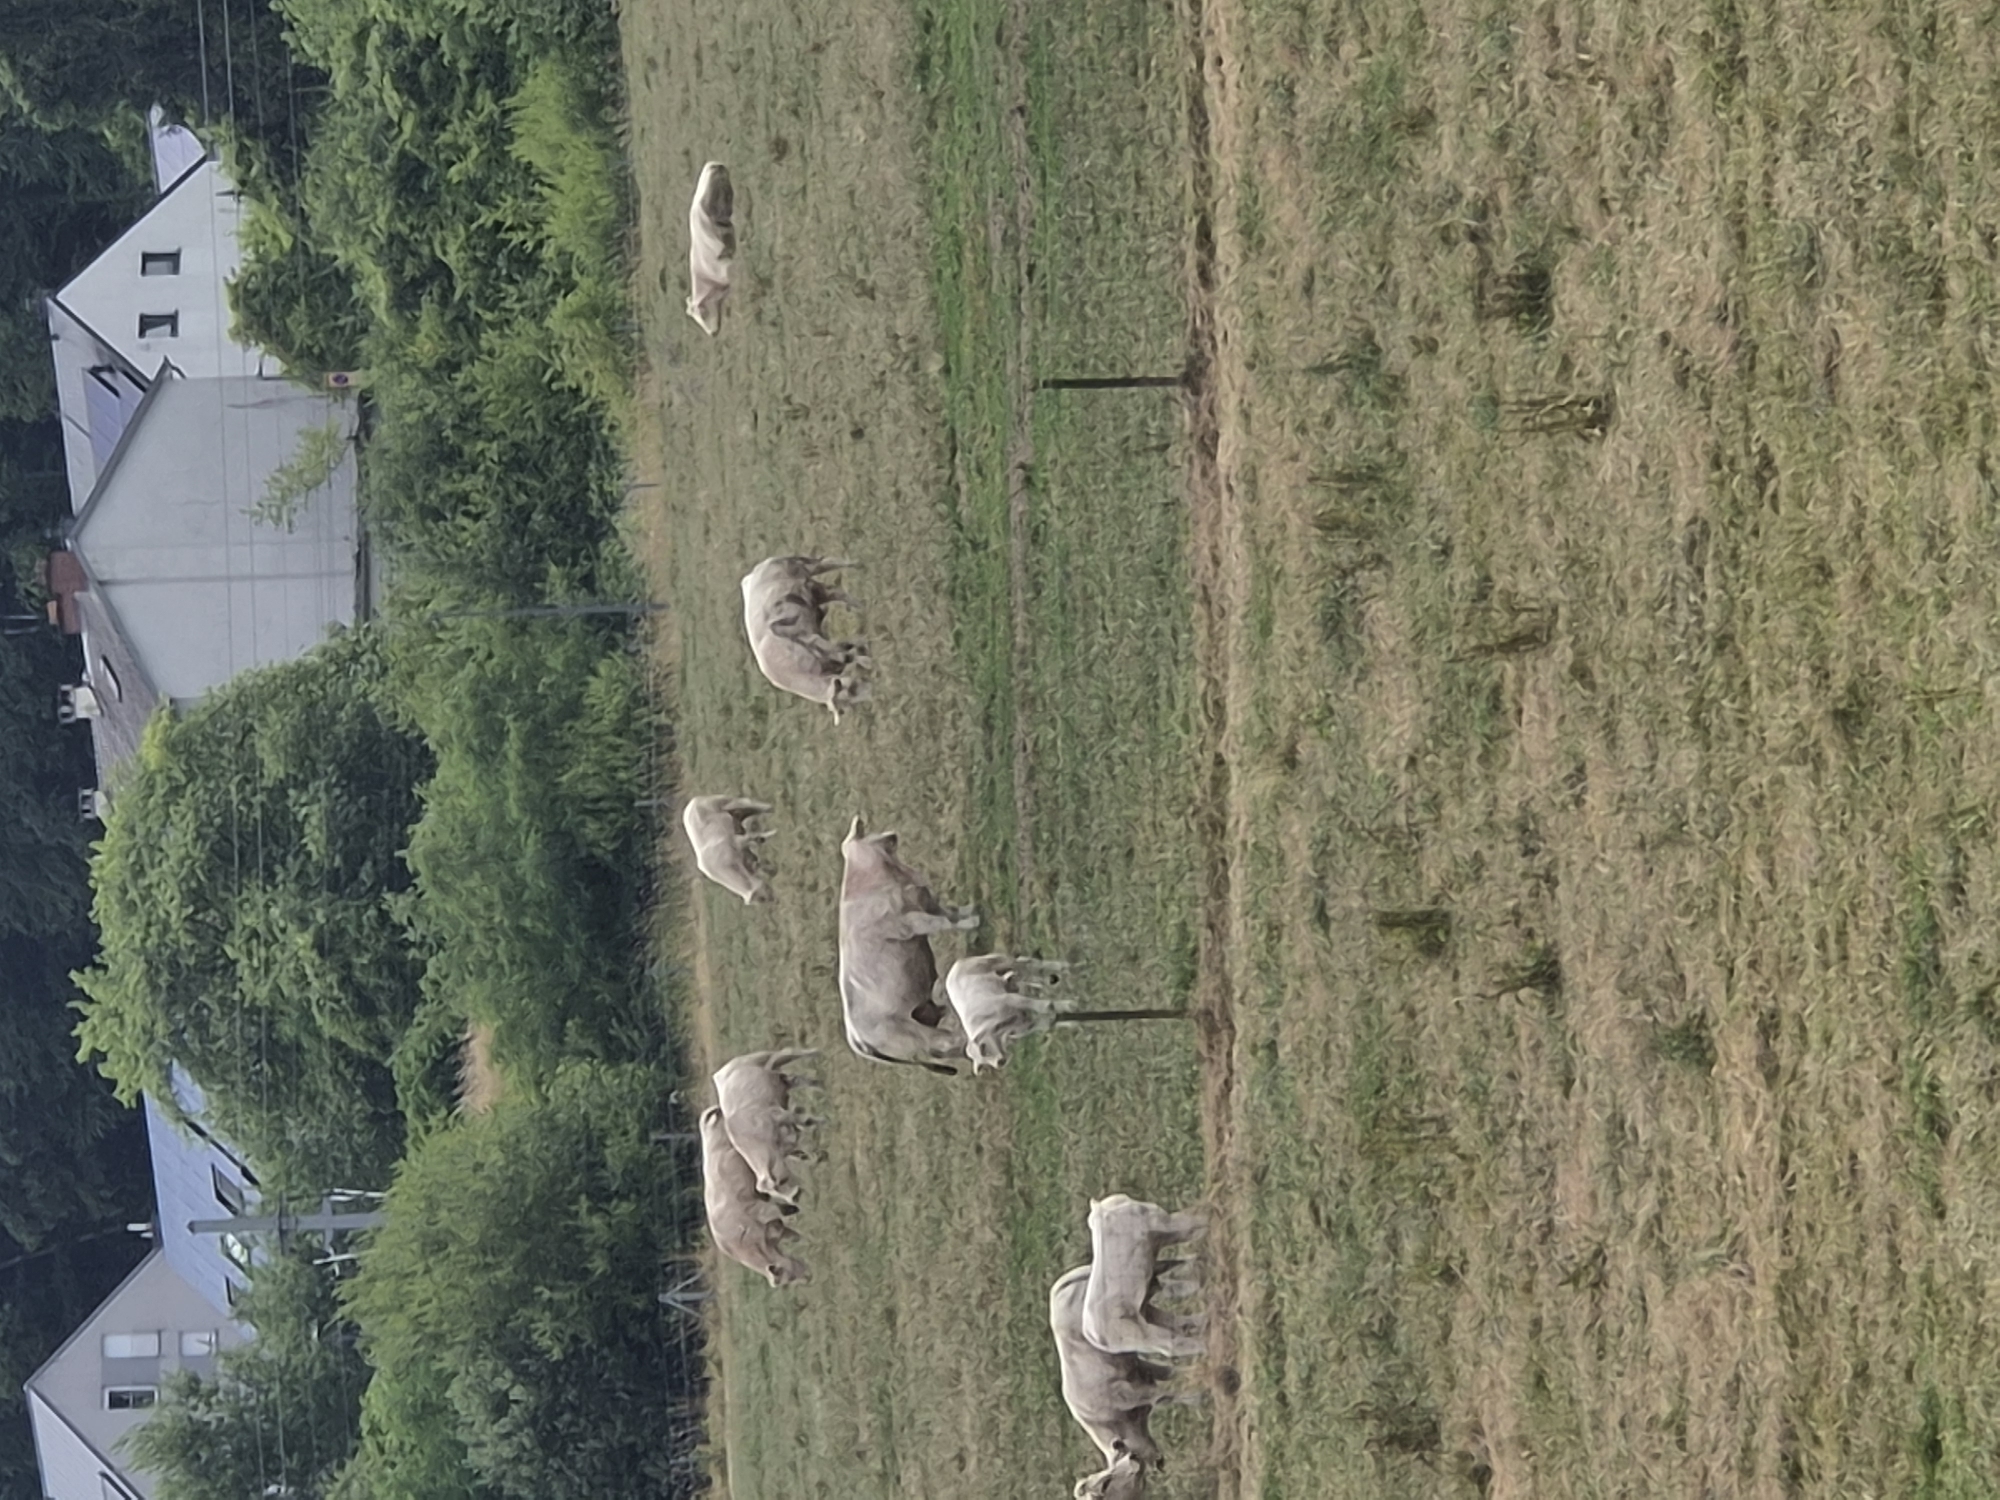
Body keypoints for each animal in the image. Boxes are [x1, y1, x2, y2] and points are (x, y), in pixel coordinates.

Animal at [699, 1106, 809, 1287]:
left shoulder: (761, 1209)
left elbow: (782, 1211)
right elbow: (792, 1235)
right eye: (788, 1281)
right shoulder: (773, 1228)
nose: (808, 1278)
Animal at [713, 1048, 823, 1208]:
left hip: (763, 1058)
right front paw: (817, 1156)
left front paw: (825, 1121)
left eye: (780, 1184)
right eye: (774, 1194)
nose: (795, 1199)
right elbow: (800, 1149)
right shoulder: (785, 1144)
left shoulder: (778, 1114)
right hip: (780, 1079)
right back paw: (820, 1083)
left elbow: (804, 1120)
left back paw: (816, 1053)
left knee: (787, 1052)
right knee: (797, 1079)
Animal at [740, 555, 873, 722]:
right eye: (851, 690)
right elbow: (846, 650)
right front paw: (863, 648)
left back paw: (858, 570)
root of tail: (759, 568)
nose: (872, 692)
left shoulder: (815, 641)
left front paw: (867, 660)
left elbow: (846, 655)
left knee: (830, 568)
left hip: (807, 574)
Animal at [837, 816, 977, 1073]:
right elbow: (942, 922)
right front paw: (973, 923)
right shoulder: (910, 923)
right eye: (866, 832)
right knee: (943, 1044)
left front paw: (972, 913)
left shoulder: (927, 902)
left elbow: (951, 914)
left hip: (921, 1012)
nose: (892, 834)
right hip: (911, 1035)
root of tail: (857, 1040)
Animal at [1083, 1196, 1208, 1361]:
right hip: (1142, 1335)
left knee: (1174, 1322)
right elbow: (1195, 1222)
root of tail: (1096, 1340)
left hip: (1144, 1314)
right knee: (1172, 1345)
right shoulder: (1163, 1223)